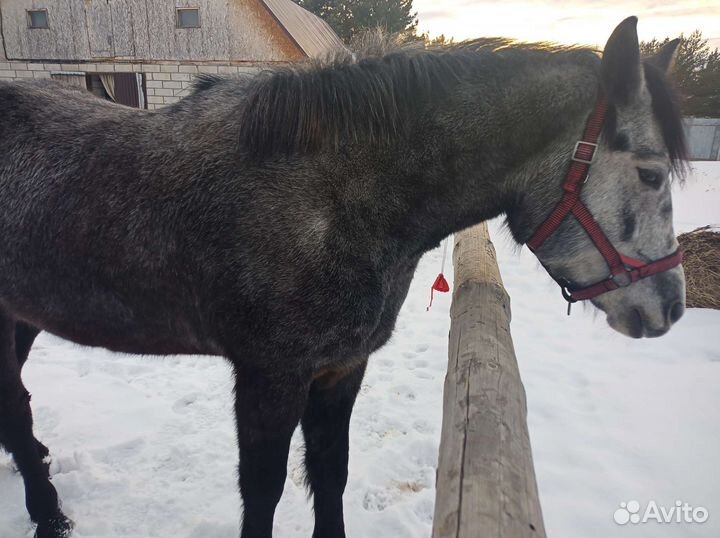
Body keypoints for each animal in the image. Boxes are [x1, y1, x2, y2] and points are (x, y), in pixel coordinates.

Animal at [0, 16, 686, 538]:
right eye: (651, 174)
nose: (670, 309)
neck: (333, 195)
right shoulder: (270, 376)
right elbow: (264, 491)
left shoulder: (340, 368)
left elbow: (330, 475)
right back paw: (48, 515)